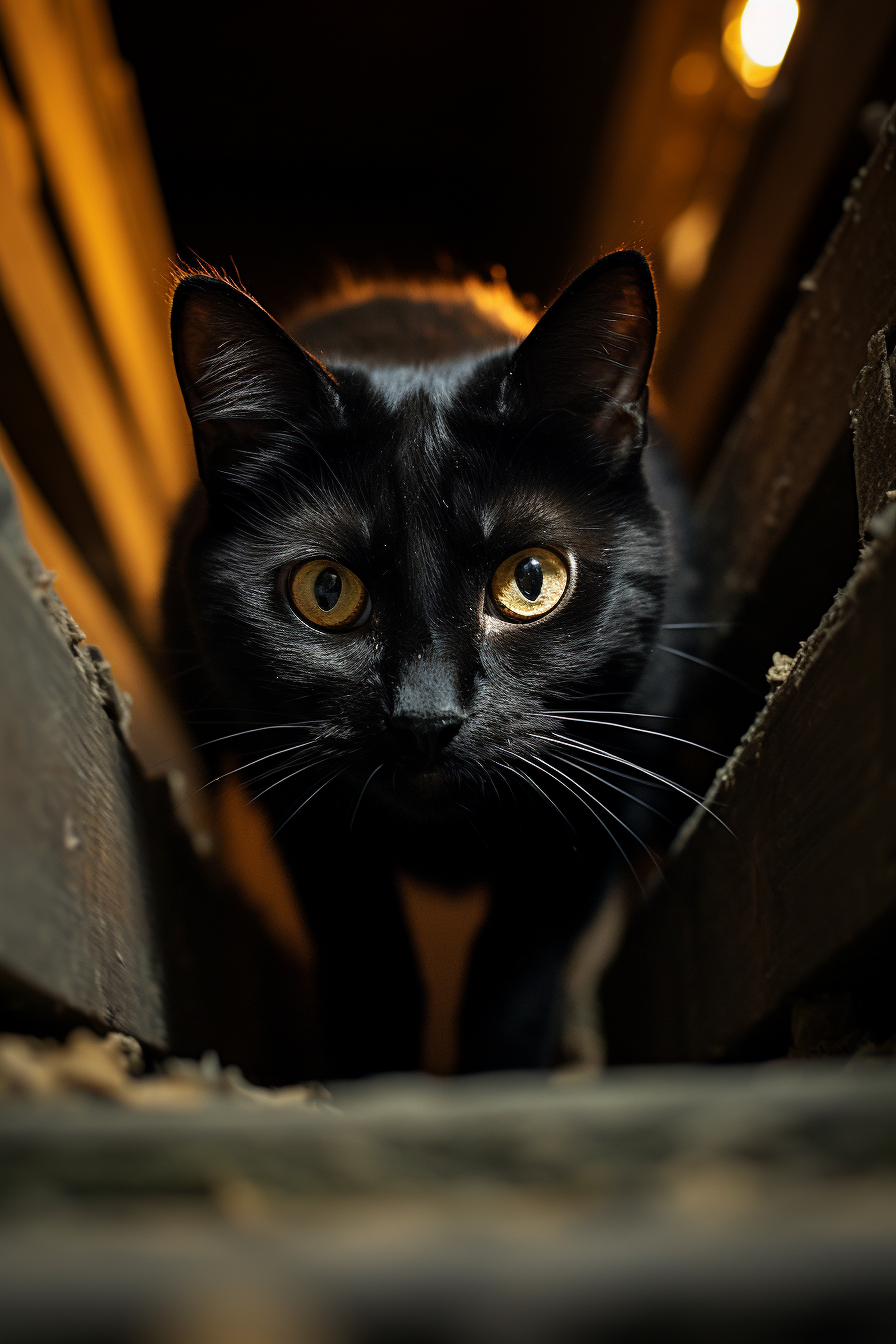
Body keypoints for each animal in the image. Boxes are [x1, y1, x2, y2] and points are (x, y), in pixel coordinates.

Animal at [166, 252, 698, 1080]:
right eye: (326, 591)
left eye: (531, 581)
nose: (425, 716)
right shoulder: (303, 812)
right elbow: (373, 969)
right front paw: (378, 1079)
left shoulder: (598, 797)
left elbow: (513, 981)